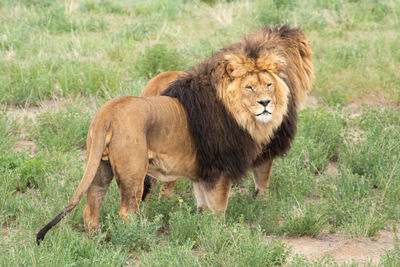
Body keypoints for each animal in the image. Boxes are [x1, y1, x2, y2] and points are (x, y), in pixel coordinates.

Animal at [140, 25, 312, 200]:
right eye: (250, 87)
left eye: (268, 84)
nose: (265, 103)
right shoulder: (268, 144)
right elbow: (263, 178)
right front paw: (265, 201)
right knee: (164, 191)